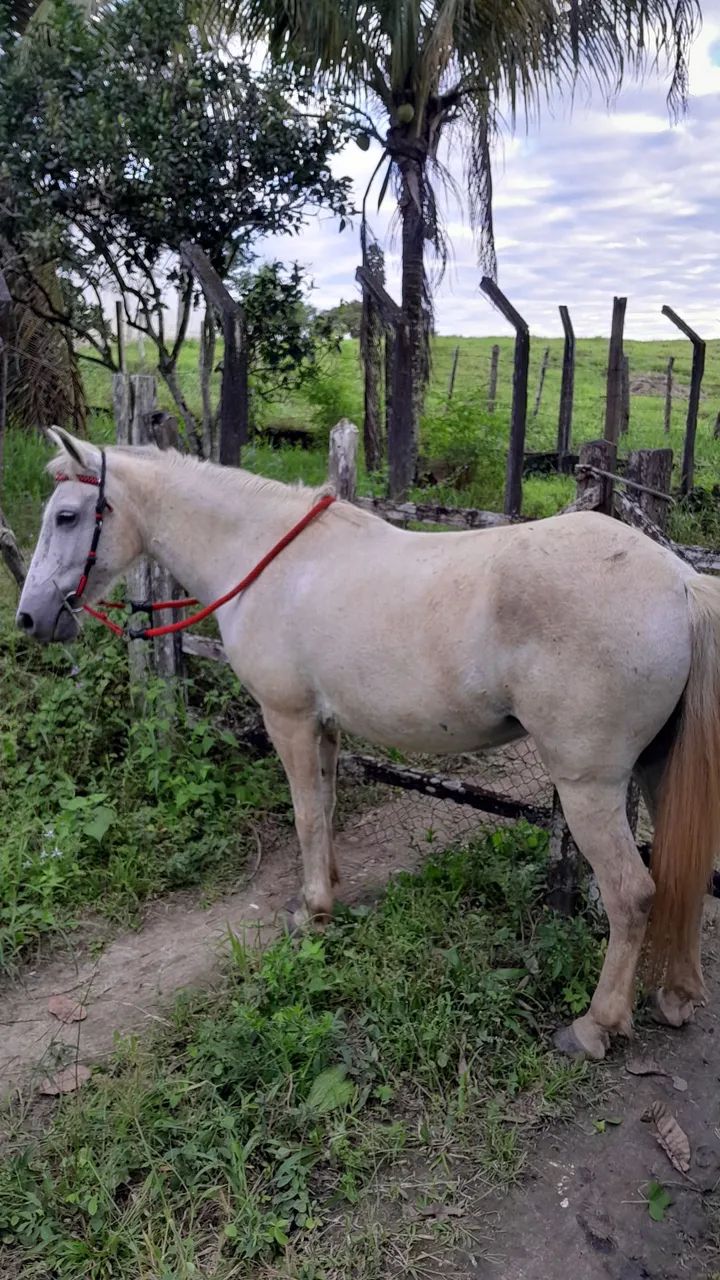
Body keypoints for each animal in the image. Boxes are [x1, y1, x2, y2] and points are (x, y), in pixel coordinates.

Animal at [16, 426, 720, 1060]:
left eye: (67, 515)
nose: (29, 617)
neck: (269, 559)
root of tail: (679, 583)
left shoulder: (289, 718)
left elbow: (304, 814)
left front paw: (311, 912)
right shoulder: (324, 725)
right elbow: (325, 809)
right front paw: (327, 887)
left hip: (589, 787)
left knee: (633, 894)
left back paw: (596, 1027)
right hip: (655, 770)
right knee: (679, 875)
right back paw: (678, 995)